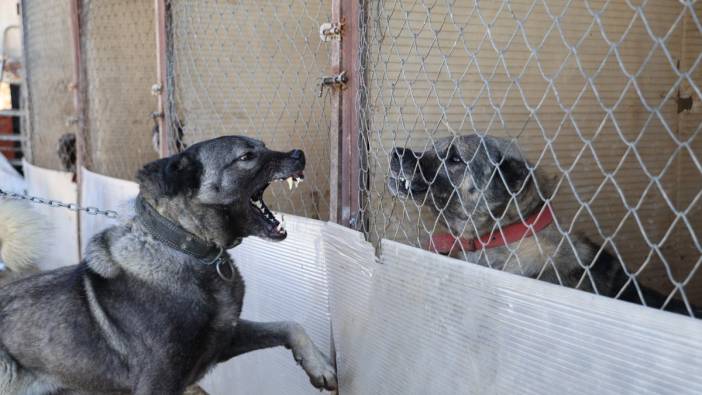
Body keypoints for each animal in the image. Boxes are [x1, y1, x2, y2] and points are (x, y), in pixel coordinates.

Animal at [0, 137, 338, 395]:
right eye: (246, 156)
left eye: (263, 146)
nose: (299, 153)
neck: (184, 246)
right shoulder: (158, 382)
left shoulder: (225, 339)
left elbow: (289, 325)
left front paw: (319, 365)